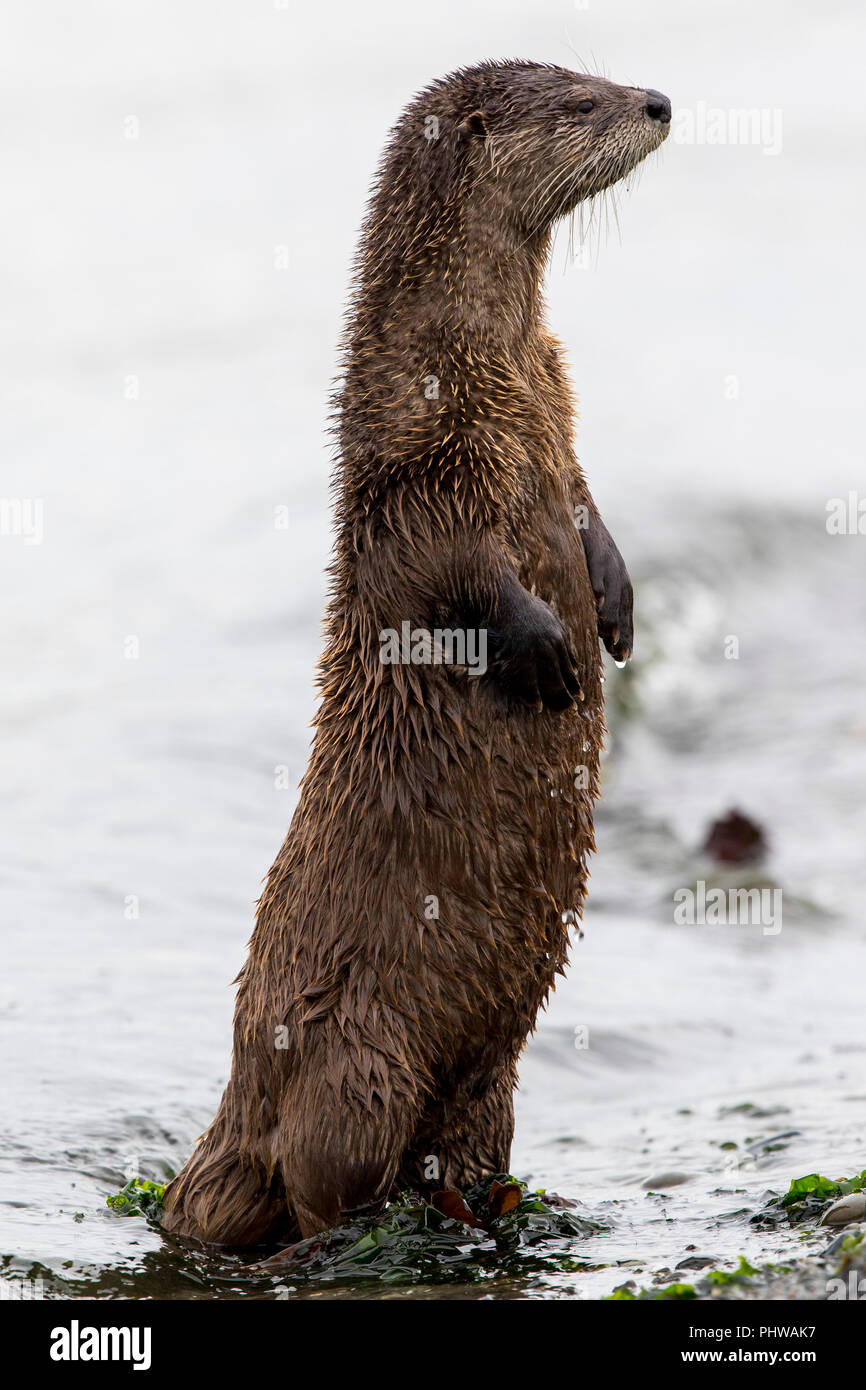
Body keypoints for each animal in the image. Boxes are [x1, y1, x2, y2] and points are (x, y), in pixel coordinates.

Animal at [164, 59, 678, 1245]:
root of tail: (236, 1105)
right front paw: (544, 645)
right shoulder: (411, 465)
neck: (494, 366)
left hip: (489, 1076)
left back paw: (486, 1203)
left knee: (462, 1139)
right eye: (581, 103)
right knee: (324, 1176)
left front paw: (616, 607)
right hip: (354, 1057)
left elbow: (588, 512)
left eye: (597, 71)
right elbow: (444, 567)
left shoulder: (557, 410)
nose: (659, 102)